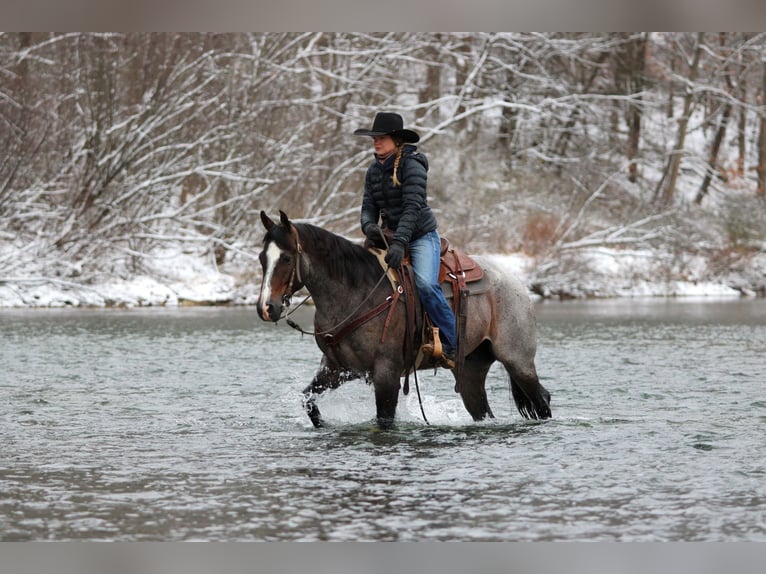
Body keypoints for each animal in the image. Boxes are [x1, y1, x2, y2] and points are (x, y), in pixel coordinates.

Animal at [256, 210, 551, 428]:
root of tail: (515, 282)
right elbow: (308, 401)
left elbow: (384, 421)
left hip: (518, 361)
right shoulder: (337, 368)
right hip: (471, 370)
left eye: (286, 258)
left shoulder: (386, 374)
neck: (355, 292)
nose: (266, 308)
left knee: (542, 399)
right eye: (262, 258)